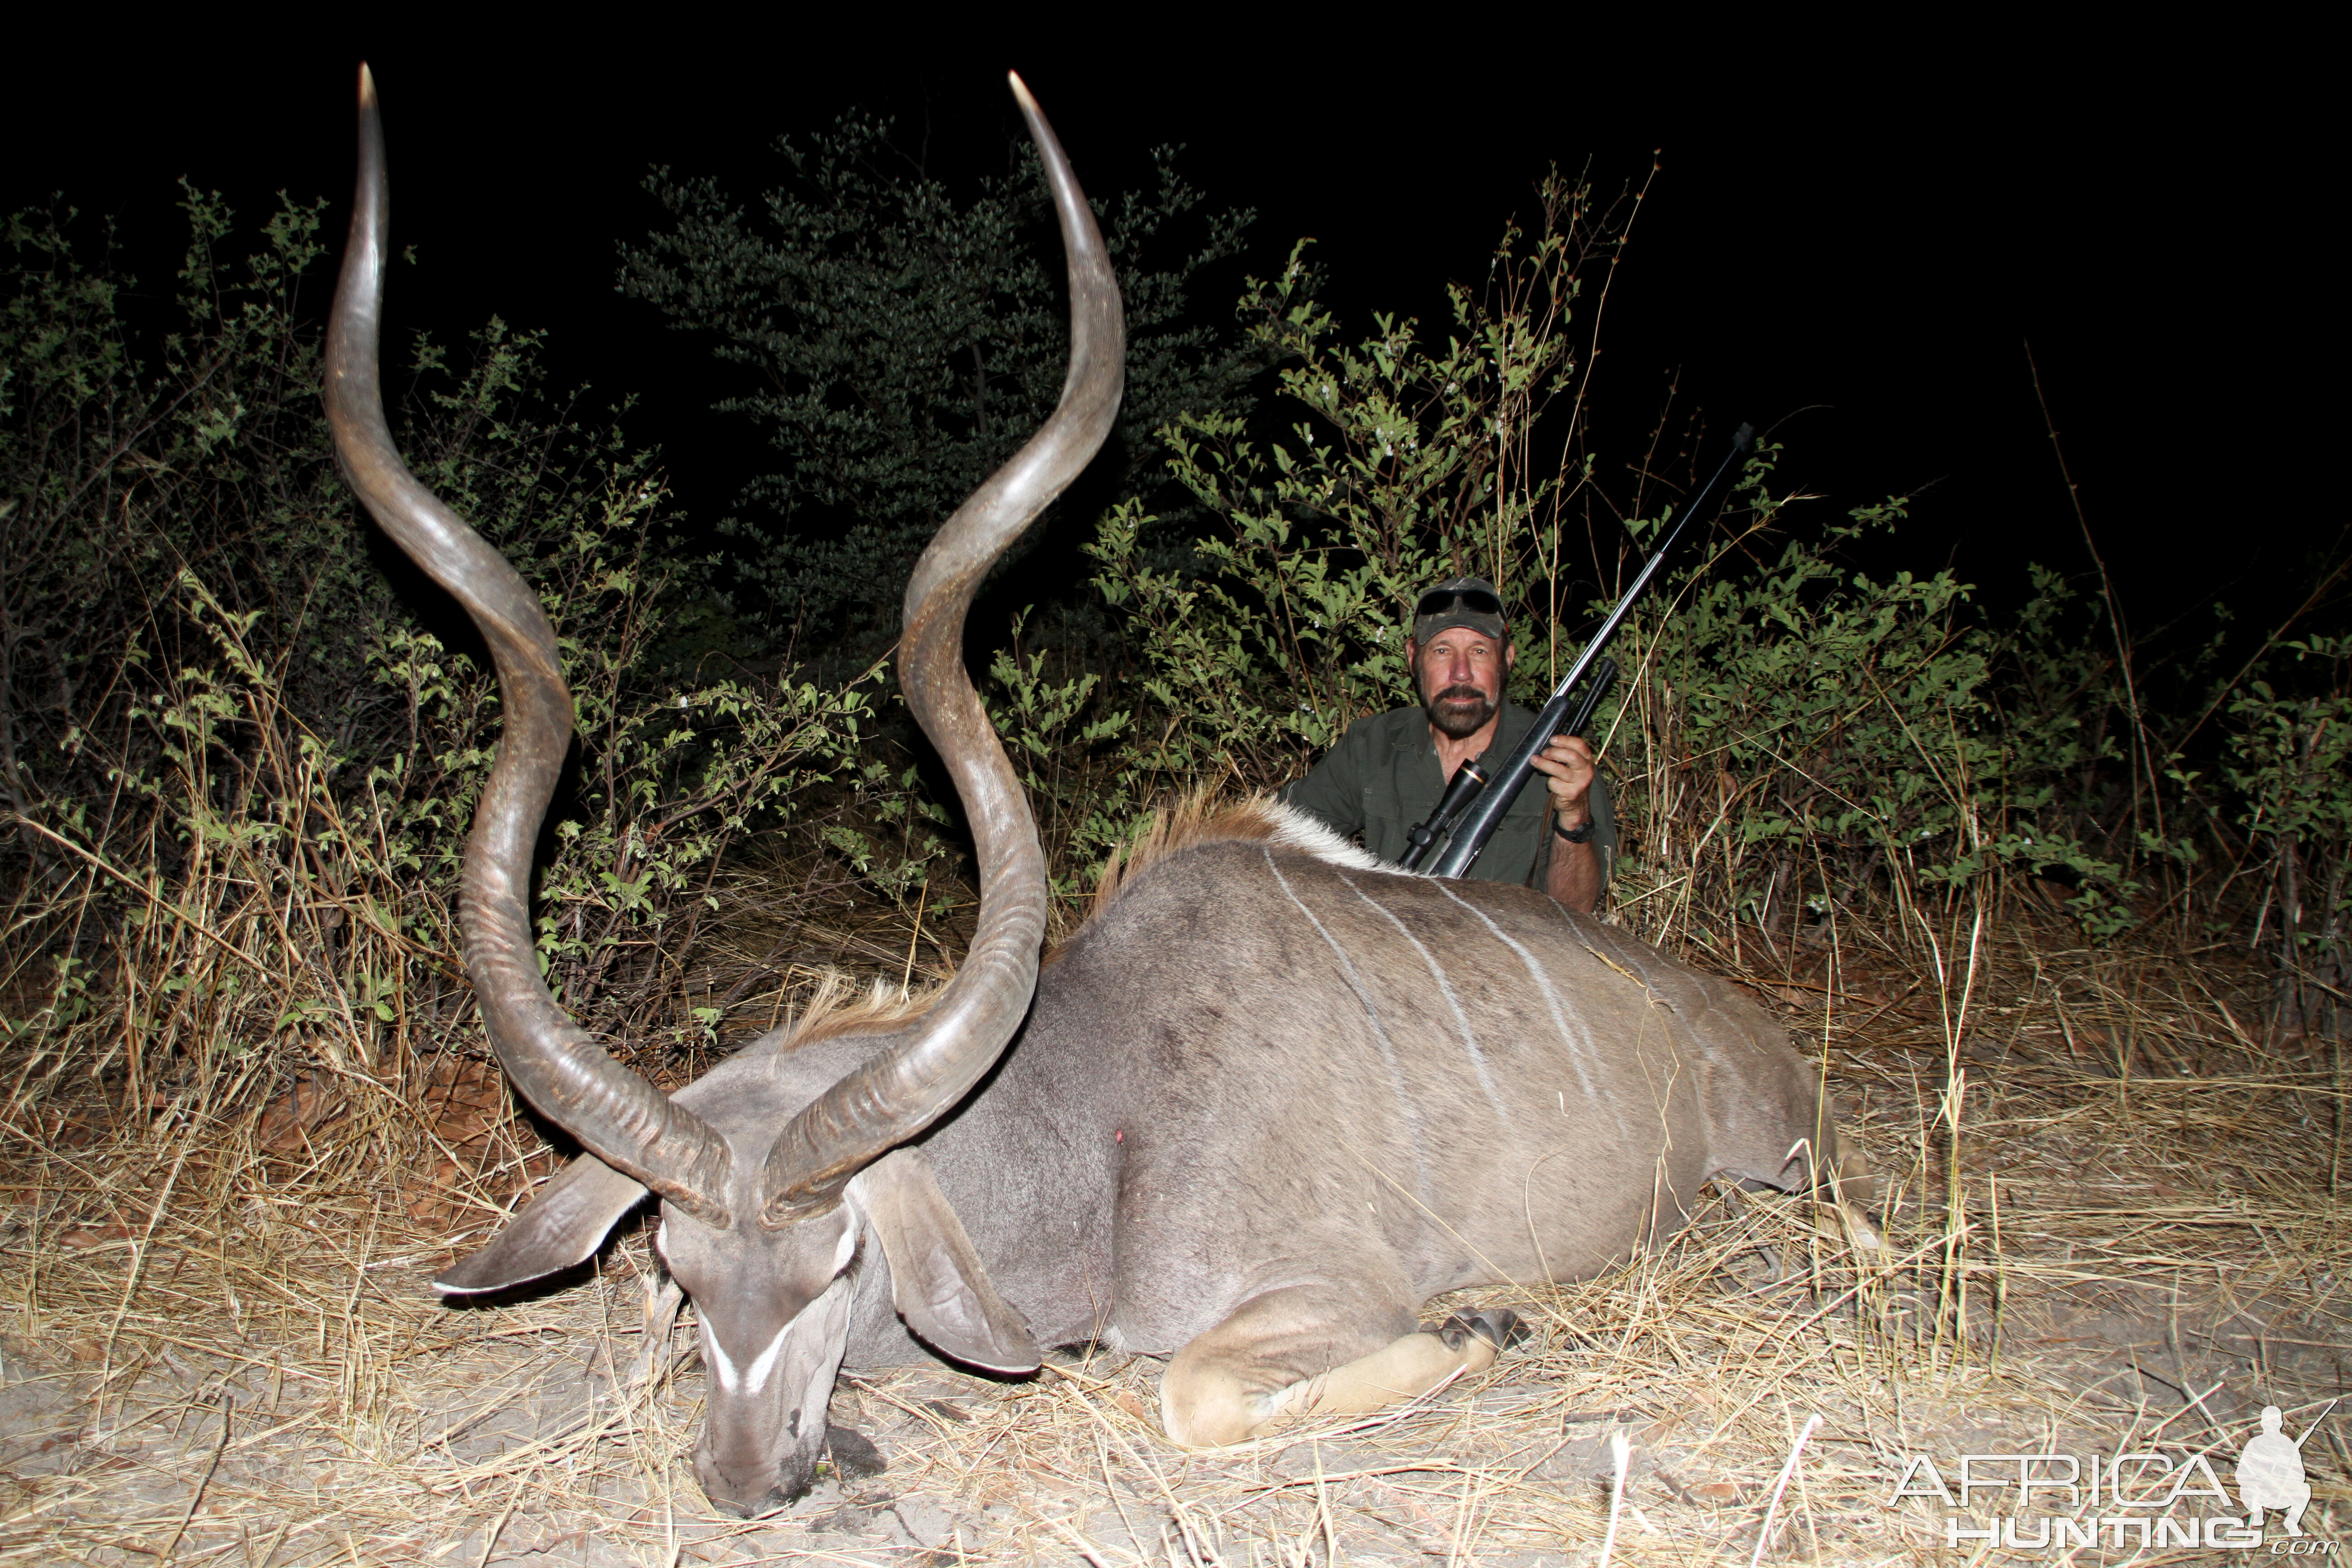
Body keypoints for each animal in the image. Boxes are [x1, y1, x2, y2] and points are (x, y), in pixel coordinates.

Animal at [327, 64, 1872, 1523]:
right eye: (680, 1265)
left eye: (840, 1260)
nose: (749, 1480)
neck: (1099, 1114)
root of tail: (1751, 1028)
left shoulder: (1321, 1290)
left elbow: (1194, 1390)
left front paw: (1480, 1332)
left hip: (1793, 1166)